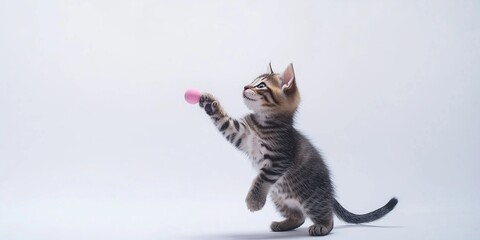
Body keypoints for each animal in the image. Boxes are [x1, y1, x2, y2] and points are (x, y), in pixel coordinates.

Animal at [199, 63, 398, 236]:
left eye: (261, 85)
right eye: (252, 81)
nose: (245, 86)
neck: (263, 123)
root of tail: (329, 193)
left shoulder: (279, 159)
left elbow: (261, 178)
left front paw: (254, 201)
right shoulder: (242, 135)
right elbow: (225, 123)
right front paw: (210, 102)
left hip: (311, 199)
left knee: (327, 217)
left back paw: (322, 227)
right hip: (279, 198)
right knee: (299, 217)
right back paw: (283, 224)